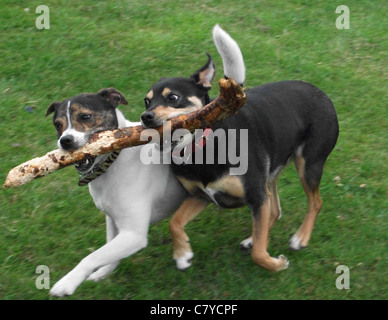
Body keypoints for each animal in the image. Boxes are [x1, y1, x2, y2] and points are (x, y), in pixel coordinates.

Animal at [141, 25, 338, 272]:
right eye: (146, 101)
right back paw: (253, 239)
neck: (201, 150)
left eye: (173, 97)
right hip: (271, 172)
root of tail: (321, 93)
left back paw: (300, 238)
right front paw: (182, 254)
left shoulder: (256, 196)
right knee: (275, 211)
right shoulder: (200, 196)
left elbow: (259, 255)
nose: (145, 117)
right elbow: (174, 223)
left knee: (315, 202)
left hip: (308, 165)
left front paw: (276, 264)